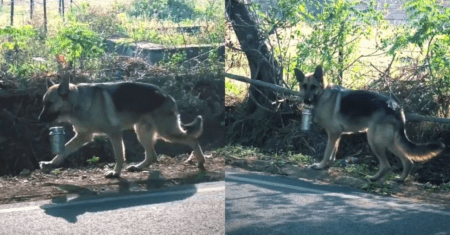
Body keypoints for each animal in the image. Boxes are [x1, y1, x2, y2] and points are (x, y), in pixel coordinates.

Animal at [39, 75, 207, 178]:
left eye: (49, 103)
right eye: (44, 103)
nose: (39, 119)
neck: (77, 101)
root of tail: (167, 95)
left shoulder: (114, 133)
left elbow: (119, 155)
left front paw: (116, 173)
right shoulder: (83, 136)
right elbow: (64, 150)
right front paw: (50, 164)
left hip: (166, 132)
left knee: (192, 139)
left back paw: (200, 161)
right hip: (142, 132)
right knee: (152, 155)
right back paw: (138, 167)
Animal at [294, 65, 444, 182]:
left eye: (313, 87)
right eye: (304, 86)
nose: (306, 101)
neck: (323, 93)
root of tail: (396, 107)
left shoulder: (333, 133)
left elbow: (327, 152)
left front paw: (320, 166)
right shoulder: (336, 135)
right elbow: (332, 153)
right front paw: (327, 165)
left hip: (374, 140)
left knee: (387, 165)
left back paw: (373, 178)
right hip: (389, 142)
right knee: (408, 160)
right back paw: (401, 179)